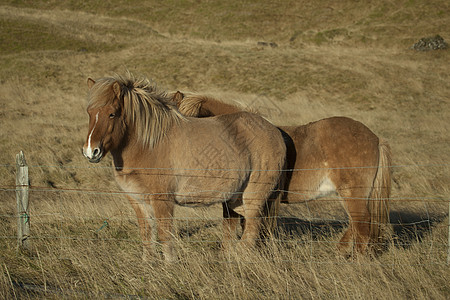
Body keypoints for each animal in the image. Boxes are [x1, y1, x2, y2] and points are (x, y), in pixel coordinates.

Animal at [81, 74, 286, 260]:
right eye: (89, 113)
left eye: (112, 113)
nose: (91, 151)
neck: (148, 146)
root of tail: (274, 130)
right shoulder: (137, 201)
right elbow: (147, 235)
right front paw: (148, 265)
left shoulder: (162, 200)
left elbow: (165, 235)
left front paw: (169, 267)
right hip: (236, 200)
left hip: (253, 199)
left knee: (251, 232)